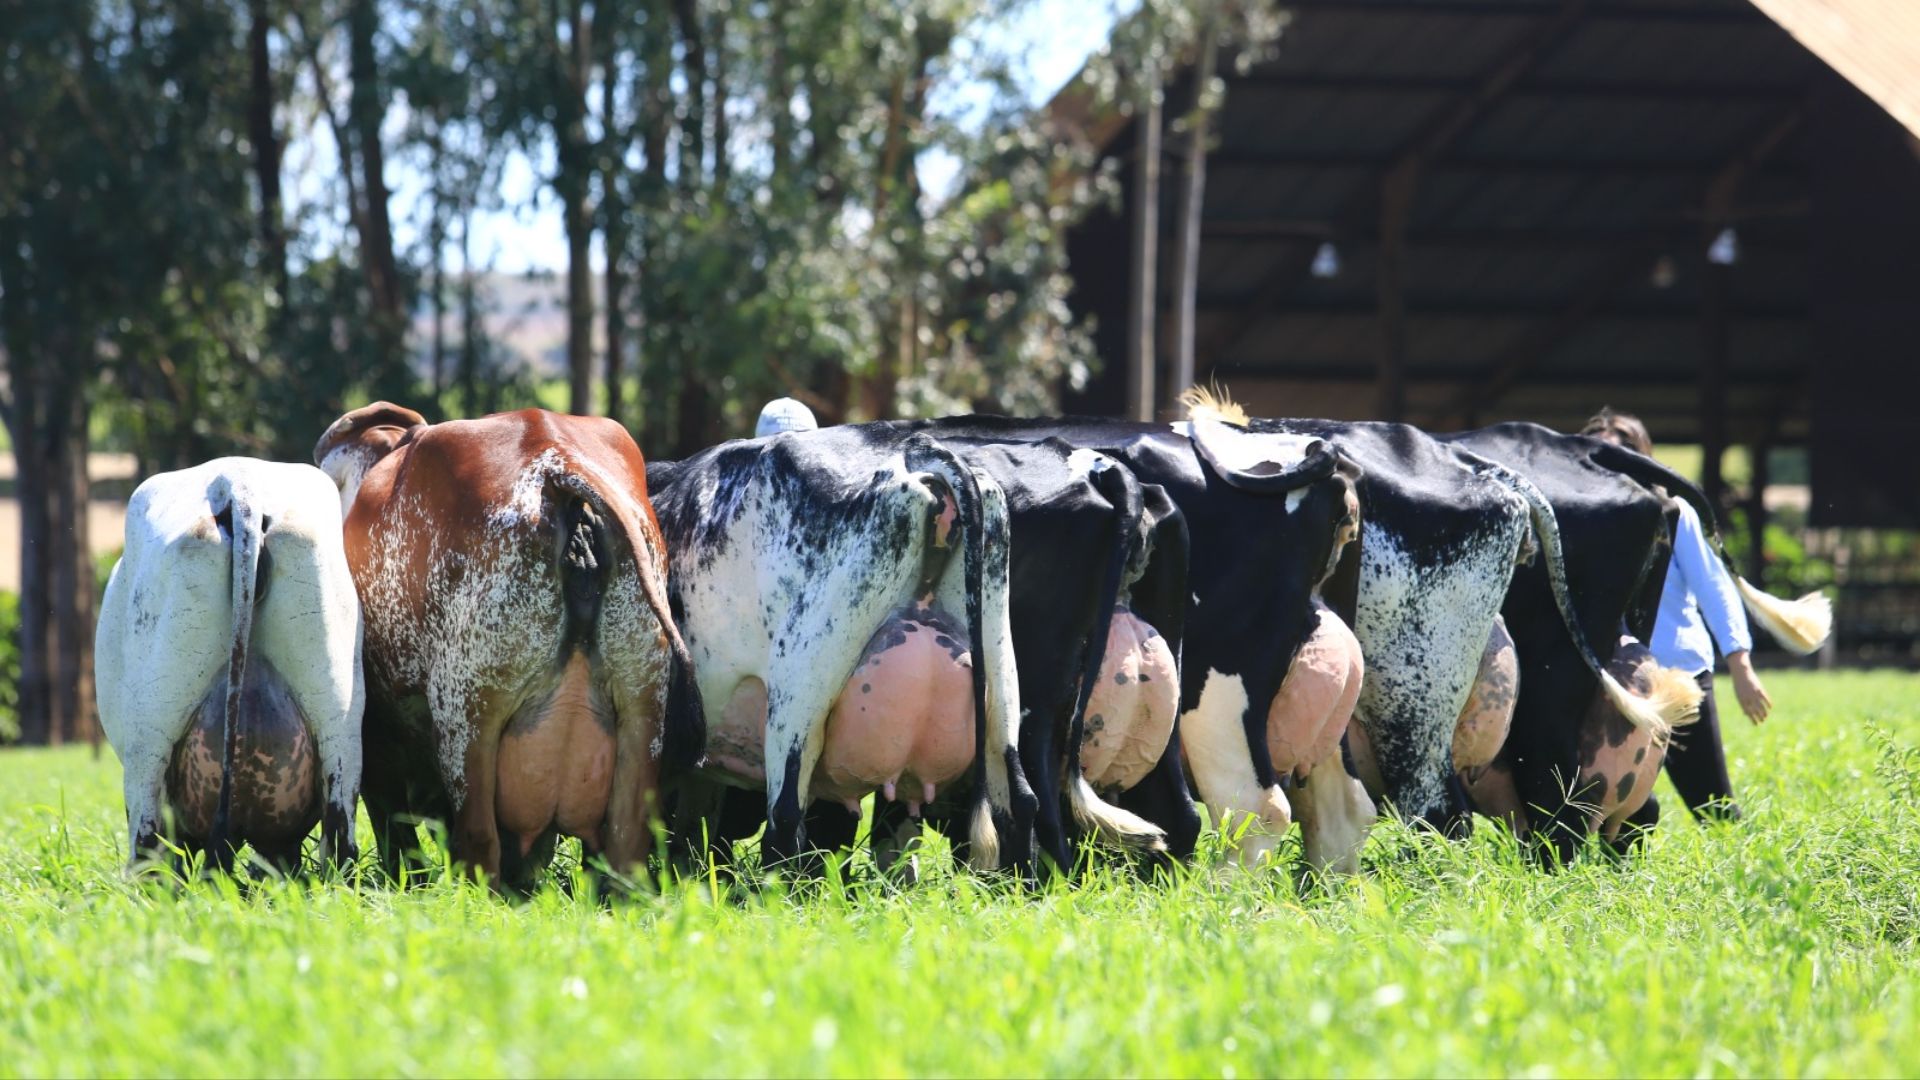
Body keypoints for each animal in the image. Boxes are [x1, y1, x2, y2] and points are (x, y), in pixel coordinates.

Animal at [313, 404, 702, 890]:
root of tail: (555, 466)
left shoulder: (378, 743)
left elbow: (396, 838)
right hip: (643, 708)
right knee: (625, 841)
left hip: (466, 714)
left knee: (479, 840)